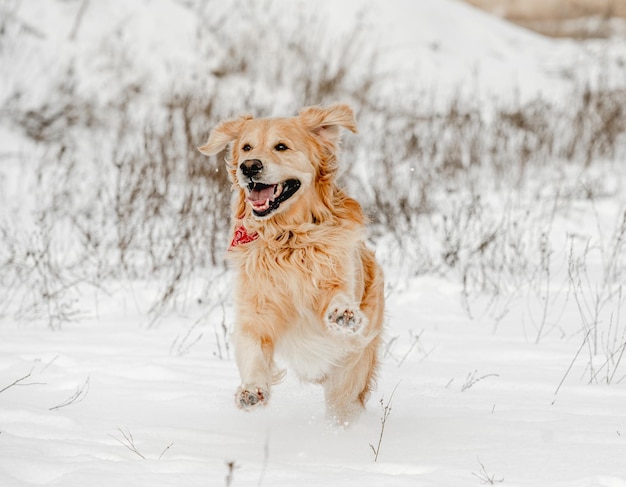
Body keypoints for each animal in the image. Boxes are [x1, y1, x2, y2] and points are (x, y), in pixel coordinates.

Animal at [200, 105, 382, 426]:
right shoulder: (255, 310)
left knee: (343, 404)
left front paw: (342, 313)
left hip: (350, 376)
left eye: (281, 147)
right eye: (246, 147)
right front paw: (251, 390)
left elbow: (338, 294)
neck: (287, 239)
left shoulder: (341, 277)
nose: (249, 167)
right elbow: (252, 350)